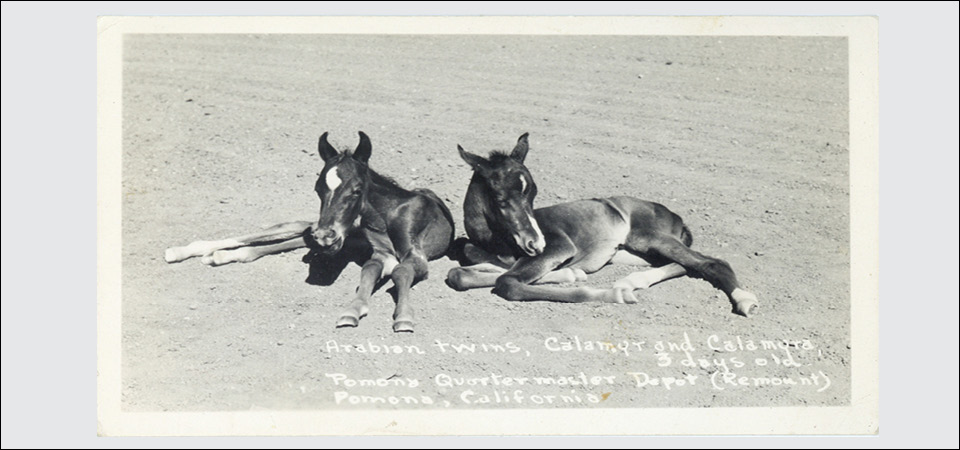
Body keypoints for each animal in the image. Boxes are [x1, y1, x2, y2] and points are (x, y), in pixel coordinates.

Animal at [167, 132, 456, 332]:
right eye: (318, 189)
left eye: (356, 190)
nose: (325, 237)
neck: (386, 213)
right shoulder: (379, 253)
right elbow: (369, 271)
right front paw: (353, 310)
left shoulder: (413, 254)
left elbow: (401, 271)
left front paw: (404, 317)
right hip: (339, 236)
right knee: (290, 228)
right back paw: (187, 251)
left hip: (345, 239)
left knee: (294, 237)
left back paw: (219, 256)